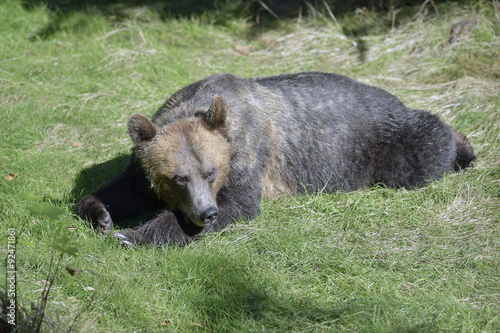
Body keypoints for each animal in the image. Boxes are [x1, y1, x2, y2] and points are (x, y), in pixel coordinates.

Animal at [75, 71, 476, 245]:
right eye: (178, 177)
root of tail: (397, 99)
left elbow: (240, 203)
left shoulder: (248, 154)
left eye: (210, 171)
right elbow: (127, 188)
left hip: (384, 140)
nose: (206, 213)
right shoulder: (147, 160)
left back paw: (464, 151)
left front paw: (133, 235)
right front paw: (101, 214)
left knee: (424, 147)